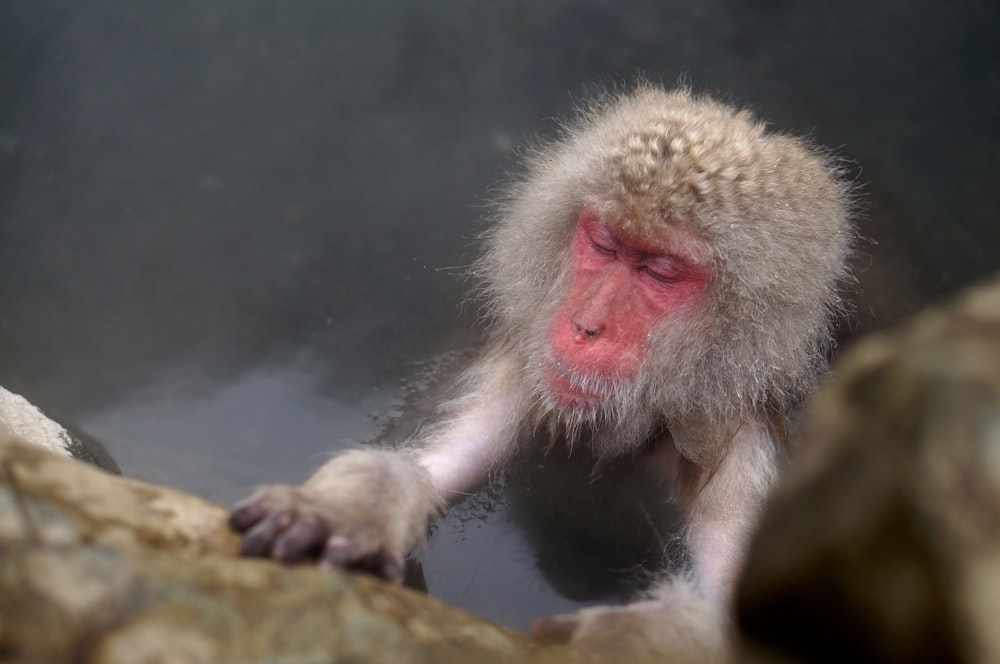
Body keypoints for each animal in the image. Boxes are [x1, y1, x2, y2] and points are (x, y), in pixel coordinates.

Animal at [230, 84, 856, 660]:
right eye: (604, 243)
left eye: (660, 271)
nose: (585, 326)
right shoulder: (524, 372)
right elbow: (434, 464)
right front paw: (353, 509)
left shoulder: (746, 448)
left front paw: (630, 637)